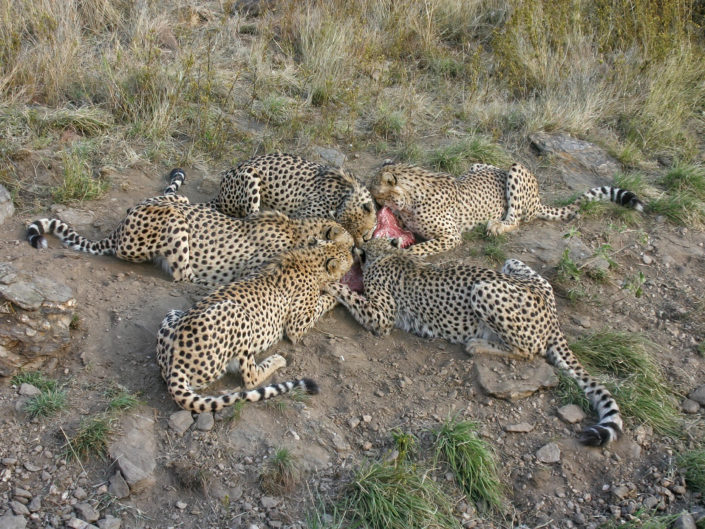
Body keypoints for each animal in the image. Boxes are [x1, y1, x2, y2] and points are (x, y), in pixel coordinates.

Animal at [27, 170, 351, 285]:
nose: (357, 253)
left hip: (176, 201)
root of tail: (118, 229)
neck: (299, 232)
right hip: (173, 220)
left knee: (179, 196)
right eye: (349, 247)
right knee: (183, 274)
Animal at [156, 236, 355, 412]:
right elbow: (322, 303)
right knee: (251, 378)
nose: (353, 253)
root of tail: (173, 365)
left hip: (173, 313)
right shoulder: (296, 326)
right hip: (235, 312)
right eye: (346, 254)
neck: (311, 257)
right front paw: (335, 295)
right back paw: (277, 360)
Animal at [213, 153, 377, 246]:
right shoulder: (302, 216)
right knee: (250, 217)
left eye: (364, 235)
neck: (346, 196)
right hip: (249, 174)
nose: (360, 246)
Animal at [326, 237, 623, 446]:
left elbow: (355, 299)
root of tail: (553, 317)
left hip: (485, 289)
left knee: (529, 350)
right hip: (512, 264)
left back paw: (477, 345)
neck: (389, 254)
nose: (356, 244)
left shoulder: (382, 316)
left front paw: (330, 285)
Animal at [370, 161, 644, 255]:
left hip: (516, 169)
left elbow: (422, 247)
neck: (409, 199)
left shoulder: (452, 235)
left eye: (374, 190)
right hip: (477, 165)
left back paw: (497, 226)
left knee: (518, 219)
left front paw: (405, 252)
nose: (373, 204)